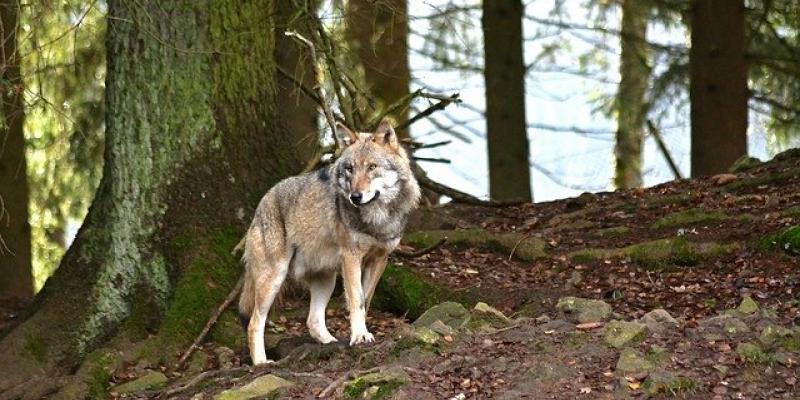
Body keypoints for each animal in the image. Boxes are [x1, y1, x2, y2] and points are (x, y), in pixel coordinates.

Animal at [237, 119, 421, 365]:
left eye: (372, 167)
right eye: (350, 169)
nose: (355, 197)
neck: (377, 219)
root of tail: (262, 202)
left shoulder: (379, 259)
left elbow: (365, 300)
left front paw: (360, 334)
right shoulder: (351, 258)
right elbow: (356, 300)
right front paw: (359, 336)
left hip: (327, 279)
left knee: (312, 321)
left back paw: (331, 343)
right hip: (274, 278)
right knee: (254, 323)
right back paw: (261, 362)